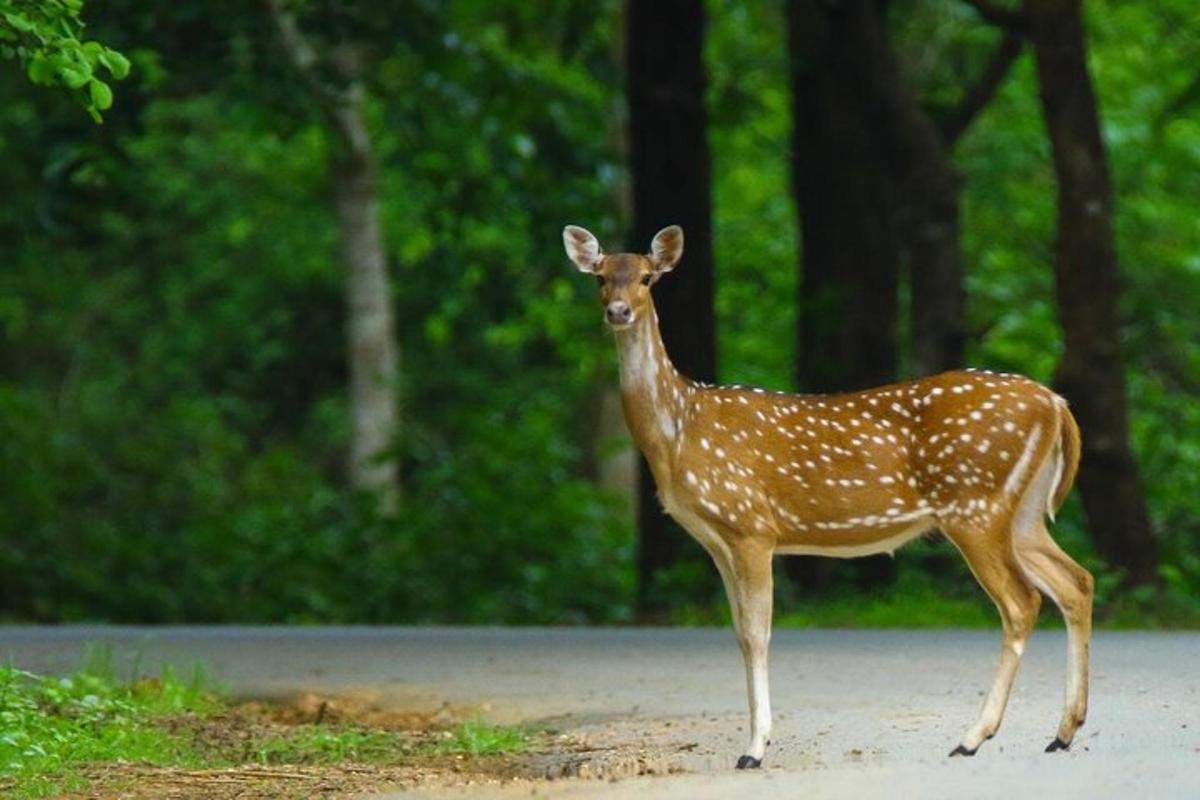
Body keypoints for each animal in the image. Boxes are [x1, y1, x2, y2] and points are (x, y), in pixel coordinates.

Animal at [566, 221, 1094, 767]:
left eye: (647, 277)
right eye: (599, 277)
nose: (618, 311)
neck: (677, 431)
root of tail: (1056, 404)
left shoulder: (751, 526)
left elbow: (757, 634)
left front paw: (755, 748)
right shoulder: (717, 541)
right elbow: (739, 635)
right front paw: (756, 740)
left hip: (975, 505)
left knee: (1022, 601)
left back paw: (974, 736)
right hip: (1023, 512)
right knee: (1076, 581)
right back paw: (1063, 731)